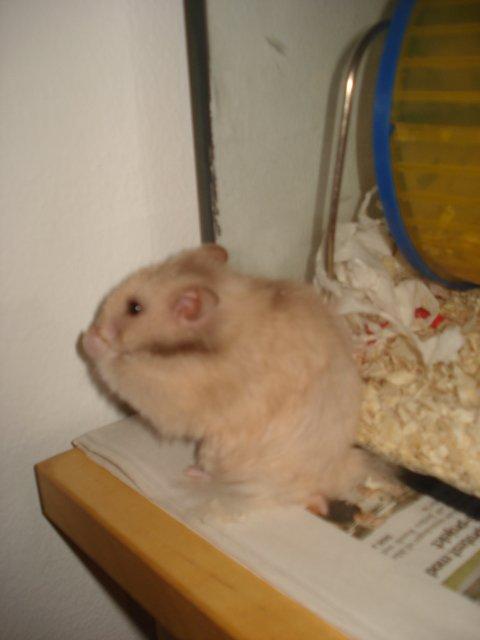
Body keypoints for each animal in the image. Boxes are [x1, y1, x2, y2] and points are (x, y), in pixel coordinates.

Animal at [82, 244, 381, 516]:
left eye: (134, 308)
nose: (95, 325)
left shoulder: (179, 388)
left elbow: (121, 369)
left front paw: (90, 340)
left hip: (216, 452)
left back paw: (193, 472)